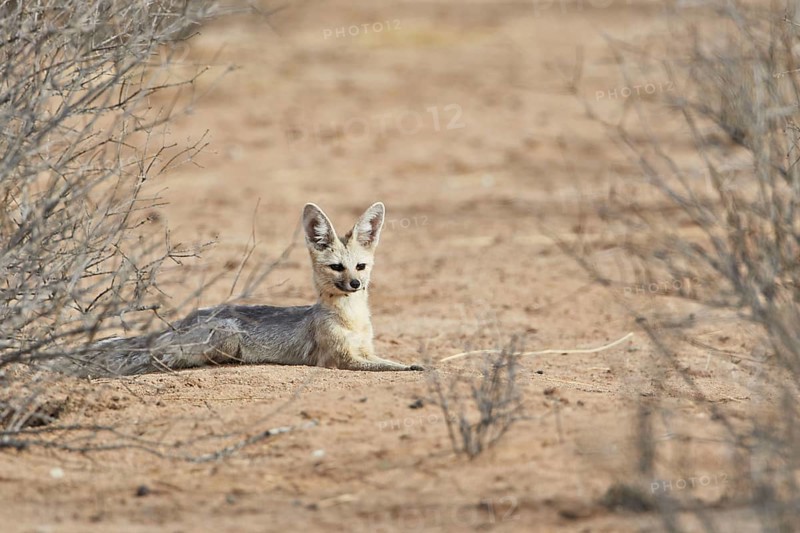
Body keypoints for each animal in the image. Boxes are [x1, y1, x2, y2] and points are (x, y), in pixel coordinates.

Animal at [57, 202, 424, 377]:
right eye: (337, 267)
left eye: (360, 267)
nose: (355, 284)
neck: (352, 319)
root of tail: (185, 319)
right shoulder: (340, 359)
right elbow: (390, 366)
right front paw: (414, 367)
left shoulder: (365, 350)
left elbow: (385, 358)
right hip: (225, 339)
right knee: (161, 358)